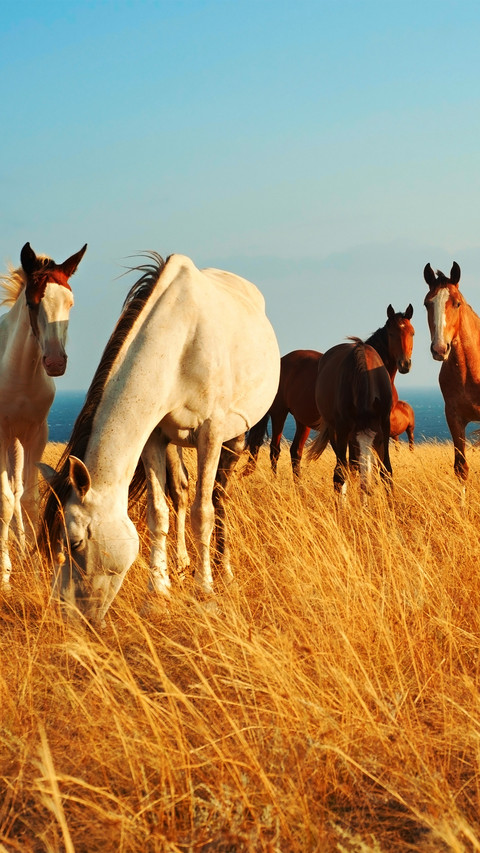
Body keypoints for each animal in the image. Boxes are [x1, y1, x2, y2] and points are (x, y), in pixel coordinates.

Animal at [0, 241, 86, 584]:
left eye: (71, 302)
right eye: (34, 302)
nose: (56, 362)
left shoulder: (37, 432)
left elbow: (28, 499)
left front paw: (34, 566)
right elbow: (5, 499)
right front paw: (5, 574)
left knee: (17, 490)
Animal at [39, 252, 280, 626]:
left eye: (76, 542)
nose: (68, 616)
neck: (178, 341)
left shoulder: (210, 432)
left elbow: (203, 512)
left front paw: (205, 591)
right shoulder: (153, 436)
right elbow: (158, 513)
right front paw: (158, 594)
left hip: (235, 437)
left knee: (220, 497)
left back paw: (222, 571)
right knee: (179, 491)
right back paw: (182, 565)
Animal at [245, 304, 414, 478]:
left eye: (412, 333)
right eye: (391, 334)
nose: (404, 364)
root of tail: (281, 361)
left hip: (302, 421)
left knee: (295, 452)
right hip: (279, 412)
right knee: (275, 450)